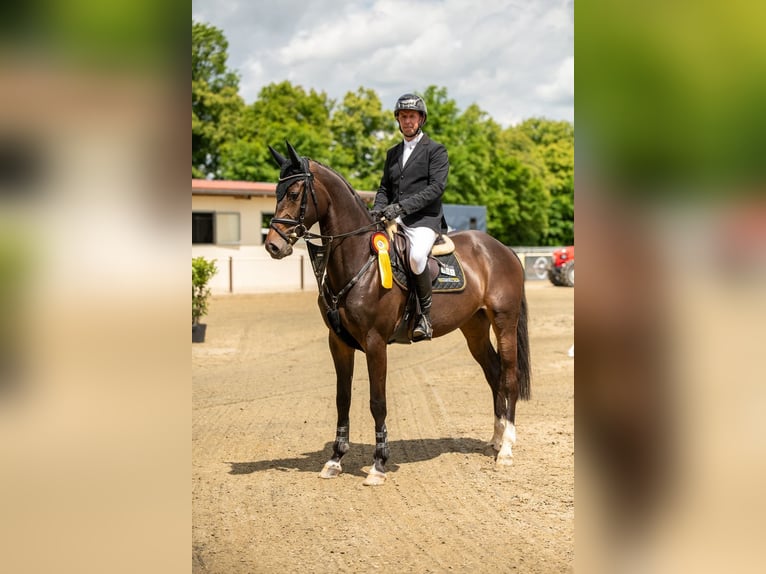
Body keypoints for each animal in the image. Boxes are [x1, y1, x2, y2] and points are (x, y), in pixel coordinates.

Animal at [264, 141, 530, 486]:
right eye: (276, 192)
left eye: (295, 193)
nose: (273, 245)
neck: (359, 258)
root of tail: (502, 249)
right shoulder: (338, 342)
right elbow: (342, 399)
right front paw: (335, 459)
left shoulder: (375, 343)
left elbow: (377, 402)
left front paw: (378, 464)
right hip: (474, 328)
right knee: (494, 373)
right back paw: (496, 440)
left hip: (504, 322)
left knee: (509, 377)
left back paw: (506, 449)